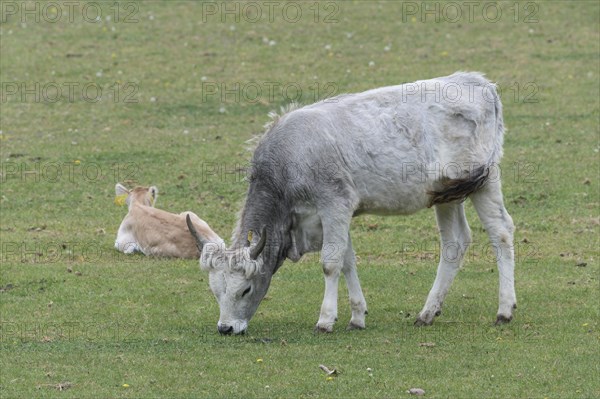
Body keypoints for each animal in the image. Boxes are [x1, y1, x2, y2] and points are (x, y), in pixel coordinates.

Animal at [188, 72, 516, 334]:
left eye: (245, 289)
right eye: (215, 291)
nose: (226, 328)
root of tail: (480, 83)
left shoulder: (334, 204)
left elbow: (330, 263)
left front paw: (325, 320)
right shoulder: (332, 215)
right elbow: (347, 260)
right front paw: (357, 316)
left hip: (484, 180)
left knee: (500, 232)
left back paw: (504, 309)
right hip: (446, 194)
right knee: (454, 243)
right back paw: (427, 312)